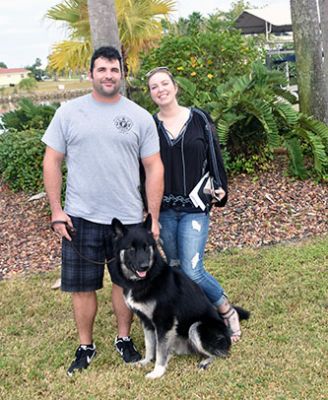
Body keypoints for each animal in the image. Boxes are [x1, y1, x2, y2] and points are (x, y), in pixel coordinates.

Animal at [111, 216, 250, 378]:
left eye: (146, 247)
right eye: (131, 249)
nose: (144, 266)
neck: (147, 280)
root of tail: (226, 331)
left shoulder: (164, 322)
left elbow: (160, 351)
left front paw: (157, 372)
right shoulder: (146, 322)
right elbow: (150, 345)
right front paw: (146, 361)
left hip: (196, 327)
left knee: (222, 353)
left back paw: (205, 362)